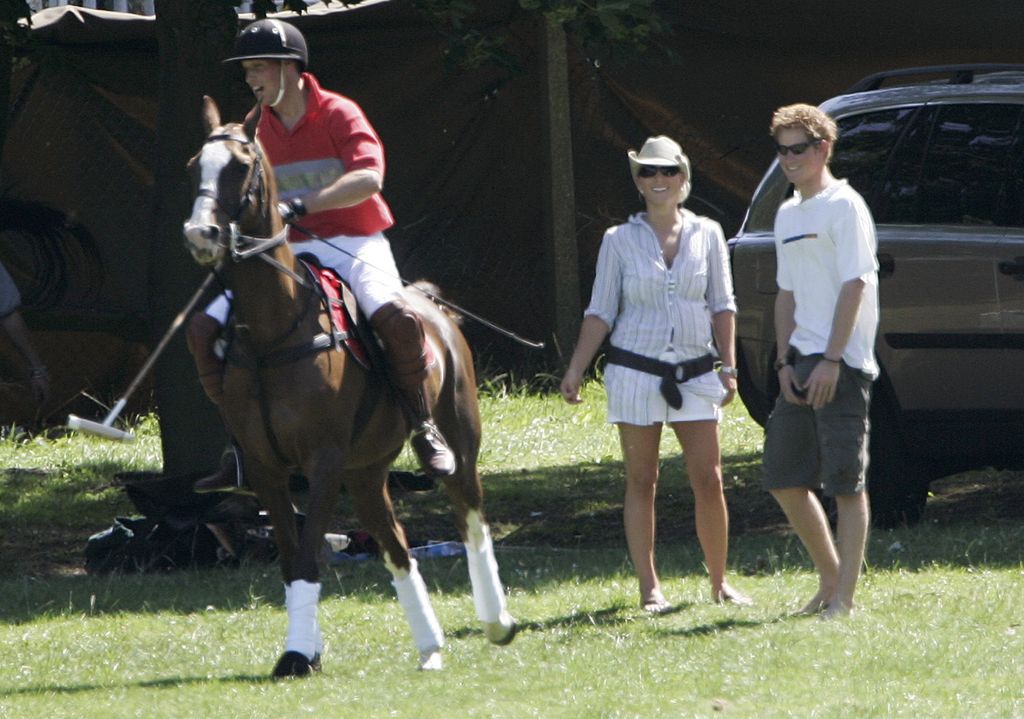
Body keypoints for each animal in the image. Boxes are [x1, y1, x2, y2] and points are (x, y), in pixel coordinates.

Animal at [181, 98, 516, 680]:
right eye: (196, 164)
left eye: (240, 166)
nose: (201, 234)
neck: (272, 332)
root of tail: (435, 307)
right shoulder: (269, 469)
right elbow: (292, 559)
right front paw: (305, 649)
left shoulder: (324, 461)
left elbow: (309, 555)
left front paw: (298, 654)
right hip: (367, 471)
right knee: (398, 545)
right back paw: (430, 647)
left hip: (458, 437)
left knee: (470, 516)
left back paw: (497, 622)